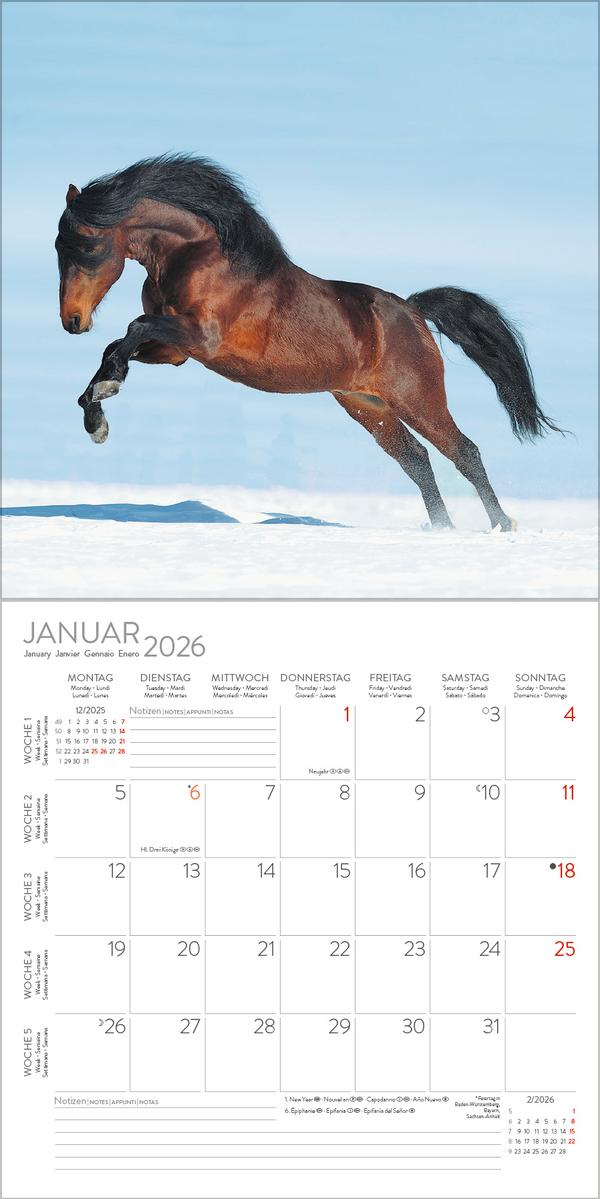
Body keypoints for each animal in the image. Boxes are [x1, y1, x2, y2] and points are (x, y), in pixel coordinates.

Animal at [56, 154, 561, 531]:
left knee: (464, 452)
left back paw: (501, 526)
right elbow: (118, 345)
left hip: (418, 398)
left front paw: (102, 402)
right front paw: (95, 413)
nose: (72, 321)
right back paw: (442, 529)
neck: (198, 259)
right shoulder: (179, 351)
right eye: (60, 246)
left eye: (87, 246)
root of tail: (414, 312)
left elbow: (135, 328)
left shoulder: (200, 338)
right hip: (367, 405)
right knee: (417, 460)